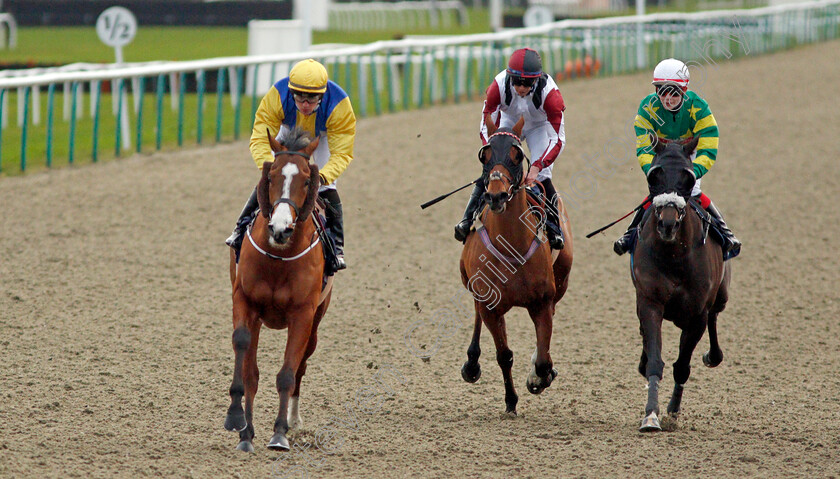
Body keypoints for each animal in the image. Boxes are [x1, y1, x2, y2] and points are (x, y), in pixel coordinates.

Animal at [225, 128, 334, 454]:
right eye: (271, 175)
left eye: (307, 180)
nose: (280, 228)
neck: (277, 257)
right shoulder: (244, 301)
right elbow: (246, 362)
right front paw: (241, 426)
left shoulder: (302, 314)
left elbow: (287, 373)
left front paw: (280, 433)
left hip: (316, 320)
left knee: (301, 366)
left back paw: (293, 420)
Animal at [456, 117, 576, 416]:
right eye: (485, 155)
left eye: (517, 155)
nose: (496, 196)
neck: (512, 245)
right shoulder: (490, 306)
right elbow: (504, 355)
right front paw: (511, 400)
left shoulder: (541, 302)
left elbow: (544, 360)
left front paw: (538, 377)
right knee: (476, 312)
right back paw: (471, 364)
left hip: (562, 279)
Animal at [632, 137, 732, 434]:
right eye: (654, 176)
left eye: (688, 178)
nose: (667, 223)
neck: (674, 255)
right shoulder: (650, 302)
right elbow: (655, 360)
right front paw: (651, 415)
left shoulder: (697, 314)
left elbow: (682, 366)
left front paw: (672, 412)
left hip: (721, 295)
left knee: (715, 316)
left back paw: (713, 355)